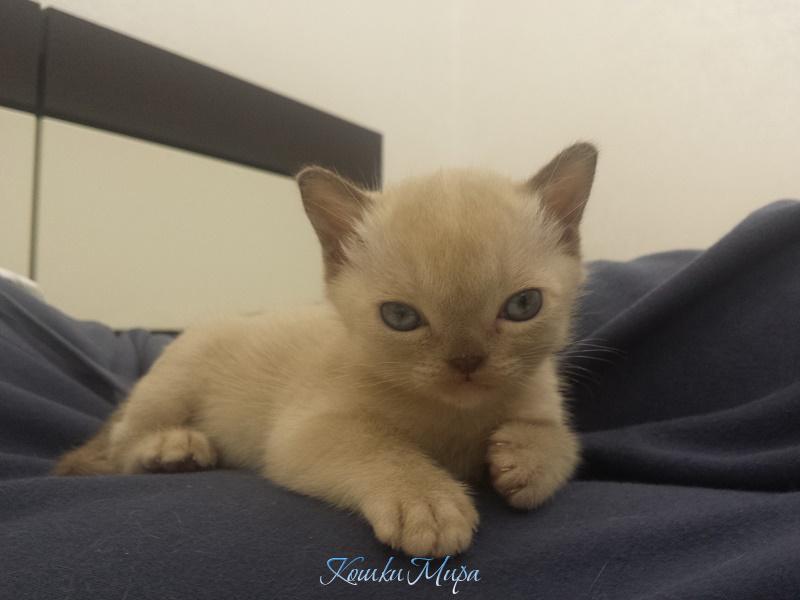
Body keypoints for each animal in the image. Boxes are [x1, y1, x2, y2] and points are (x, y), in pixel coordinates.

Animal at [53, 142, 598, 558]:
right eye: (401, 317)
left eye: (523, 305)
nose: (465, 362)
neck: (456, 420)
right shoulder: (307, 430)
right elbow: (378, 447)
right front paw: (428, 504)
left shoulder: (542, 399)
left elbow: (562, 441)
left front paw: (524, 460)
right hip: (173, 382)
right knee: (121, 447)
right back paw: (174, 449)